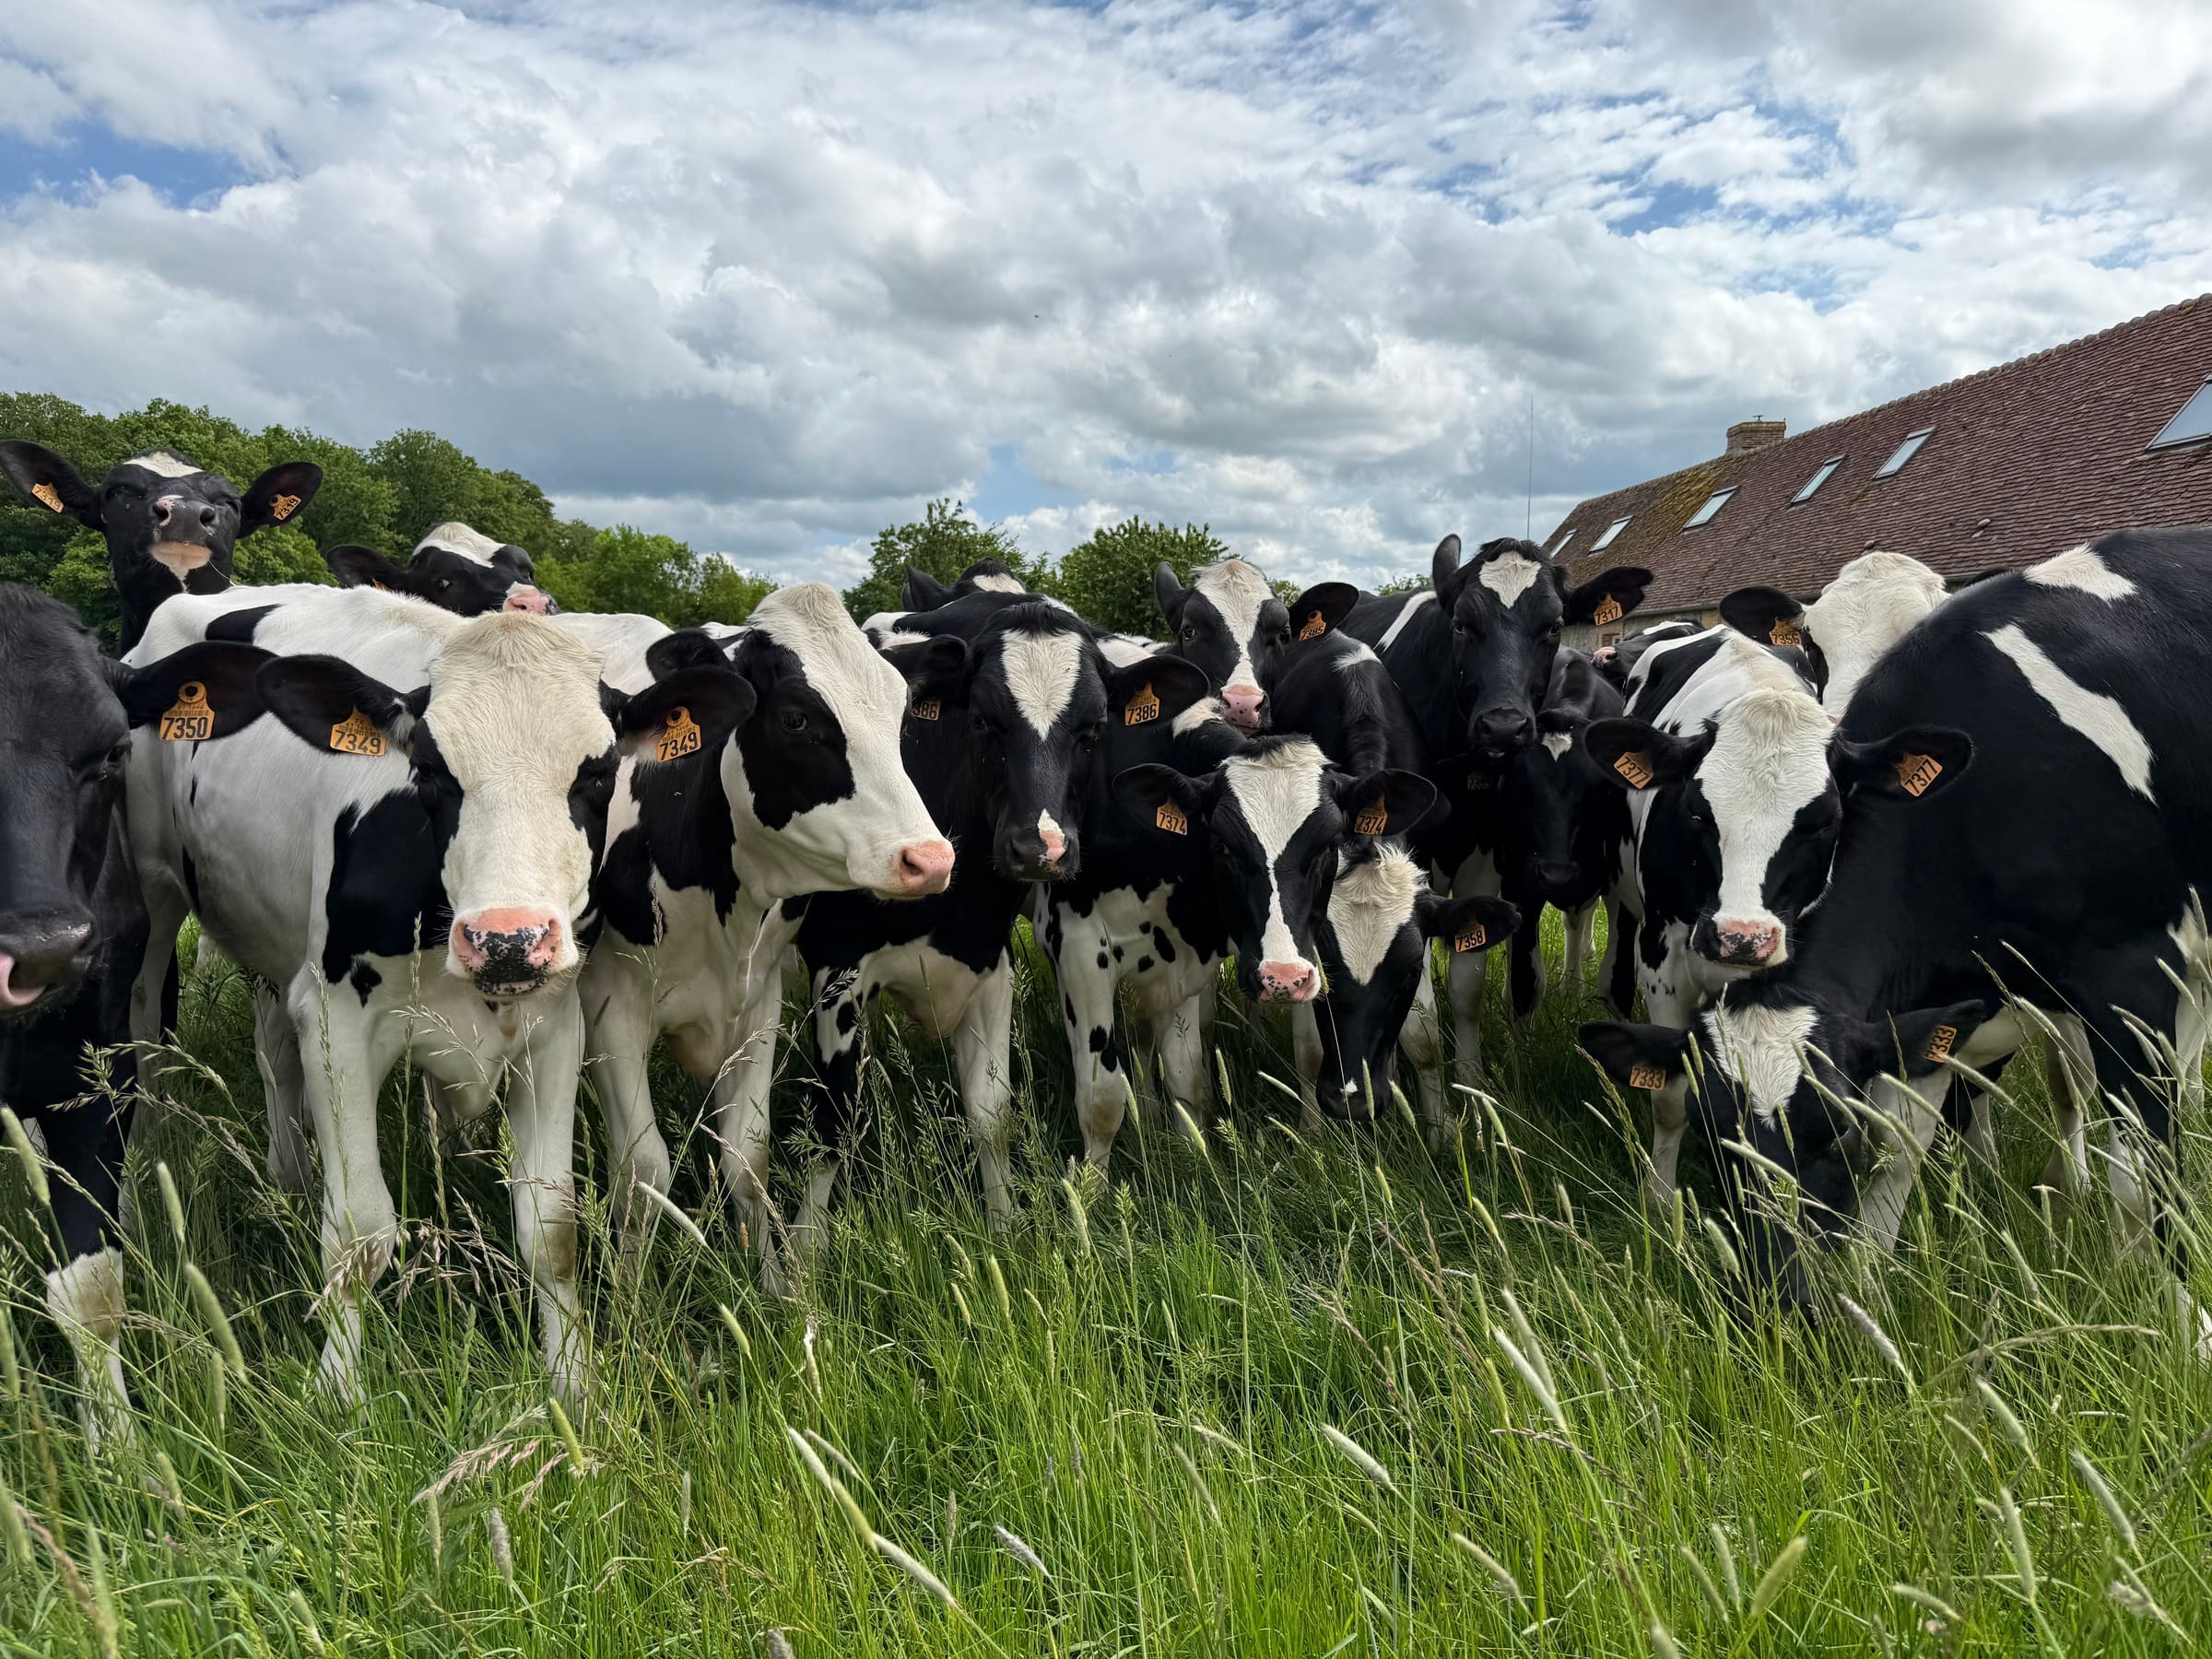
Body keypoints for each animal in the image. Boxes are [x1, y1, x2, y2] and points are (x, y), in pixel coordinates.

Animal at [124, 584, 735, 1402]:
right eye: (432, 771)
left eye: (598, 772)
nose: (508, 938)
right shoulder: (338, 1021)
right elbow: (359, 1230)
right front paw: (340, 1389)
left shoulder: (554, 1028)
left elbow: (552, 1227)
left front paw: (572, 1381)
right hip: (155, 898)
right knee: (146, 1045)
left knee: (273, 1050)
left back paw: (290, 1177)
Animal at [574, 586, 953, 1291]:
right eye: (796, 720)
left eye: (899, 713)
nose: (930, 859)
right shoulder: (611, 1004)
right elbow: (644, 1172)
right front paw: (628, 1302)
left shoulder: (760, 1002)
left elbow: (748, 1157)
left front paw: (775, 1284)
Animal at [1582, 529, 2212, 1353]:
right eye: (1695, 812)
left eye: (1821, 818)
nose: (1777, 1303)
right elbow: (1888, 1142)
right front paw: (1864, 1287)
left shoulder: (2130, 972)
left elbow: (2142, 1175)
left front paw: (2179, 1321)